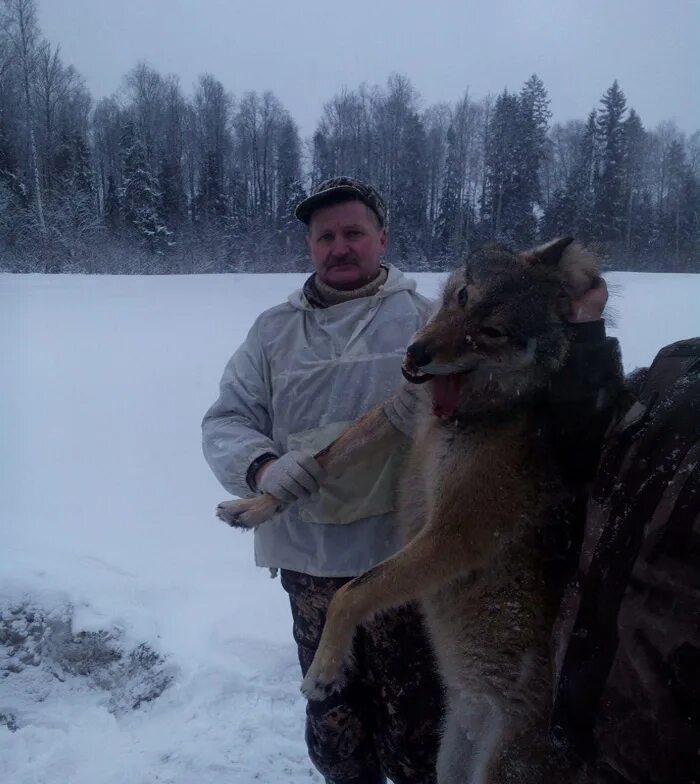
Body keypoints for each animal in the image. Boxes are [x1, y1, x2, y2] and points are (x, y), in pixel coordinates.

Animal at [217, 237, 600, 783]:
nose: (416, 351)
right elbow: (323, 460)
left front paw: (324, 670)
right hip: (450, 759)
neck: (466, 414)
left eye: (492, 332)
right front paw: (253, 506)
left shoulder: (454, 537)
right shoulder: (400, 413)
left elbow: (352, 591)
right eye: (462, 295)